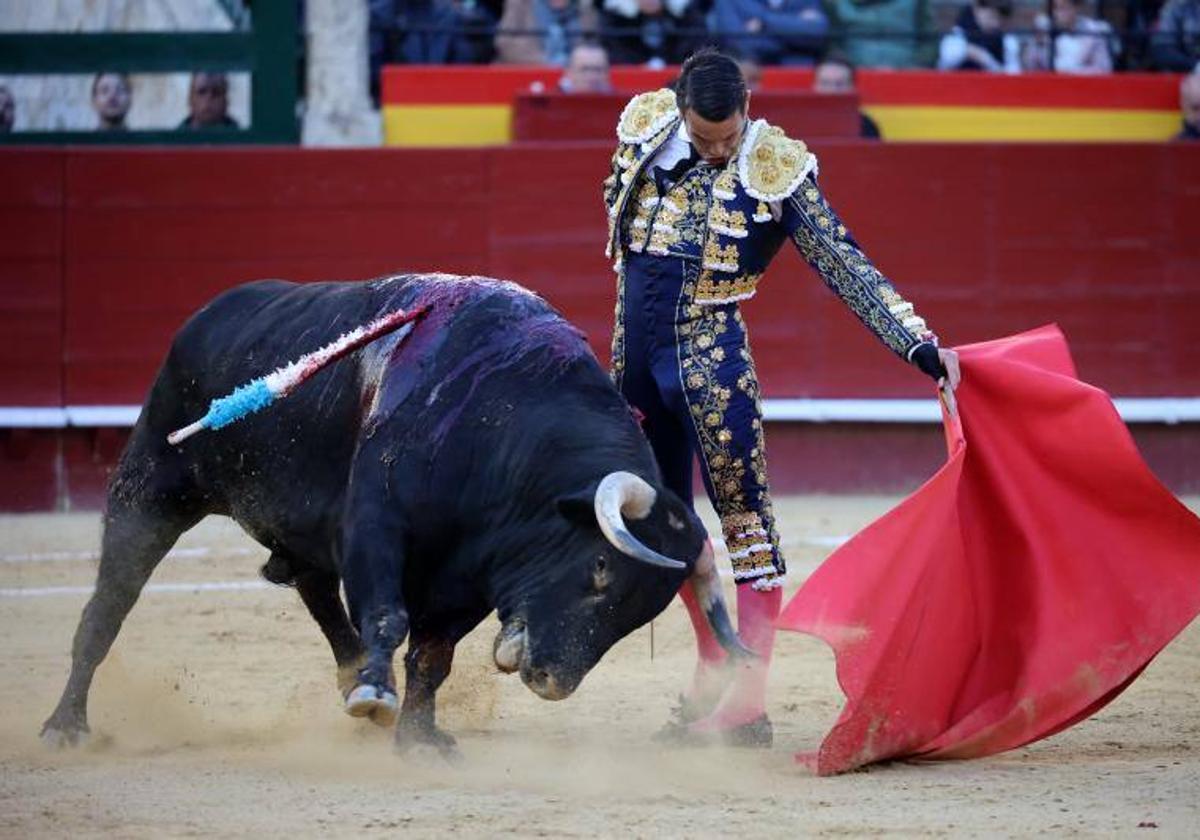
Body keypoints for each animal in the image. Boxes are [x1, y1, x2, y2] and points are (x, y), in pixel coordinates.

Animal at [42, 273, 744, 753]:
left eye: (641, 614)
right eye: (599, 569)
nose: (551, 680)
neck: (507, 426)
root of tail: (210, 314)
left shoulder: (470, 577)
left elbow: (433, 654)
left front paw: (419, 735)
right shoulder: (377, 529)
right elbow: (388, 614)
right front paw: (378, 697)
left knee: (315, 589)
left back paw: (352, 675)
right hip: (149, 492)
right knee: (107, 608)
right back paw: (65, 725)